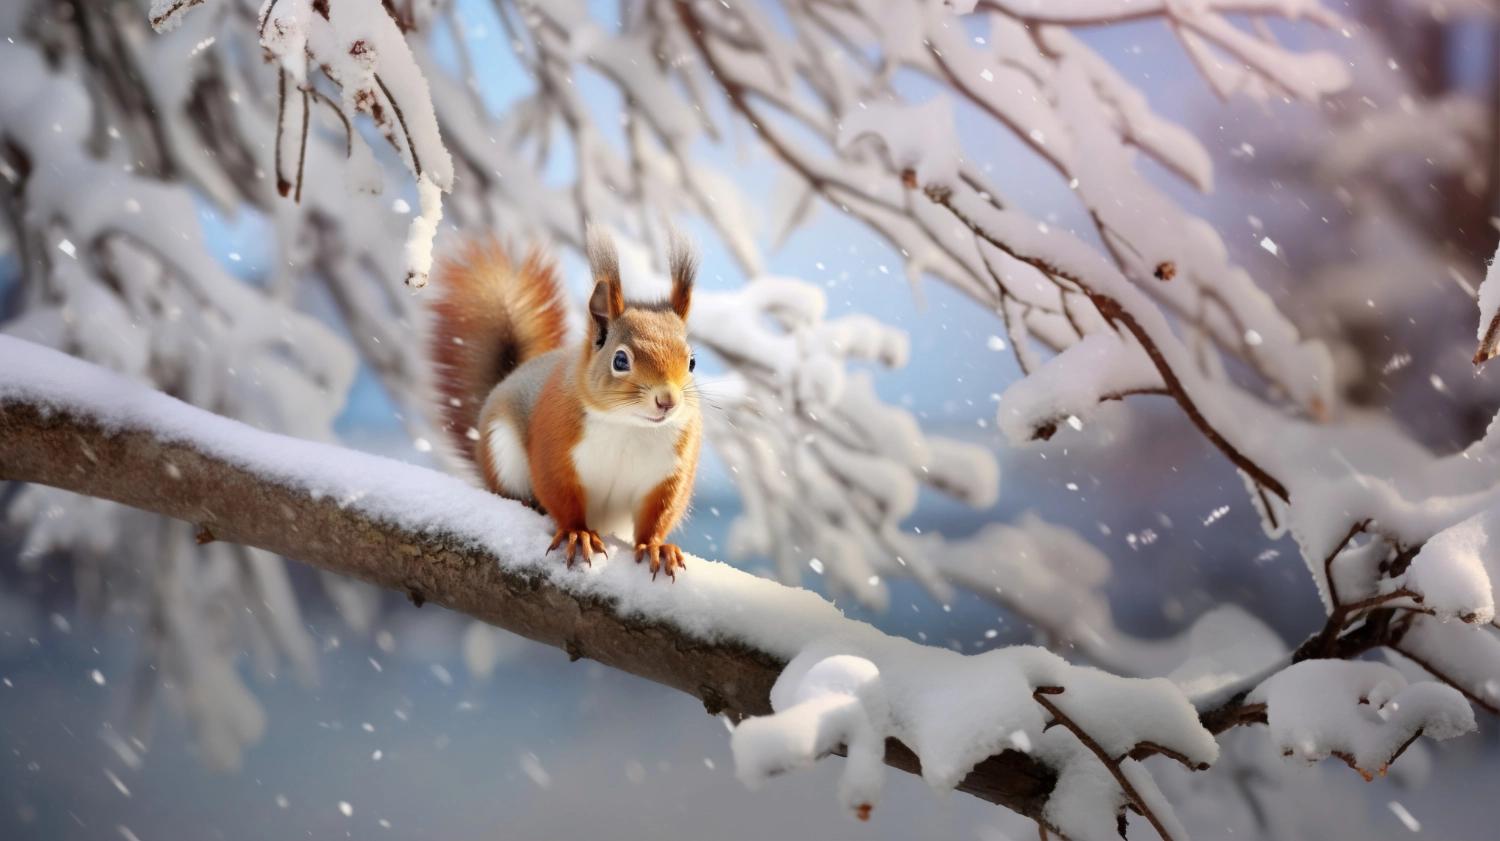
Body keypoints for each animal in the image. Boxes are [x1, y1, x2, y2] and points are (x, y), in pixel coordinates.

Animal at [427, 229, 701, 580]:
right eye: (620, 360)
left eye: (692, 362)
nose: (667, 400)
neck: (629, 425)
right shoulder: (554, 445)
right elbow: (561, 495)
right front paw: (577, 533)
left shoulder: (669, 474)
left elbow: (659, 514)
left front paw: (656, 546)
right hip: (502, 452)